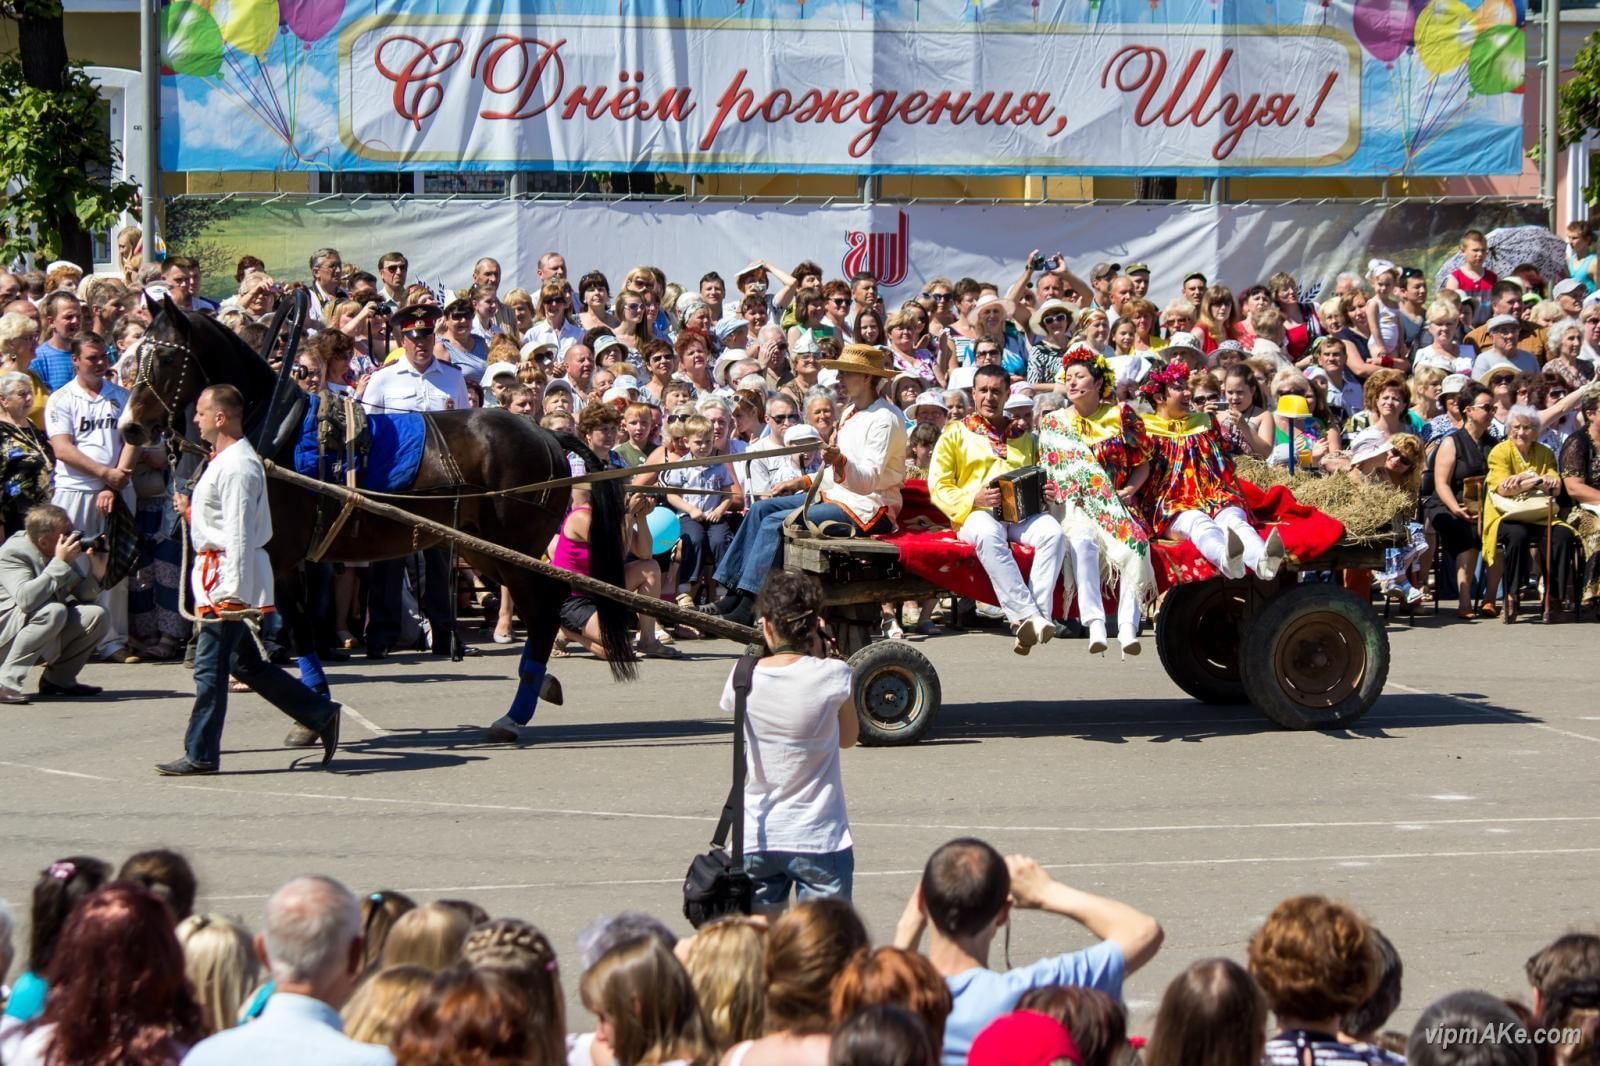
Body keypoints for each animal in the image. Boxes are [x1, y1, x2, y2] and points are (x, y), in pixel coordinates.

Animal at [120, 294, 630, 736]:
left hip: (511, 547)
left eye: (165, 358)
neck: (275, 434)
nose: (131, 427)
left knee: (544, 609)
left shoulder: (280, 558)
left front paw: (313, 716)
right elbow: (294, 632)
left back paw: (518, 710)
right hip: (485, 549)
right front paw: (314, 714)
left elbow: (299, 630)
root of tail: (546, 436)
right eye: (134, 356)